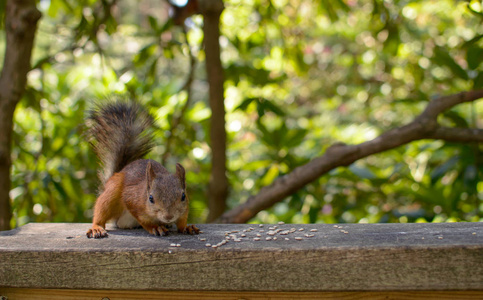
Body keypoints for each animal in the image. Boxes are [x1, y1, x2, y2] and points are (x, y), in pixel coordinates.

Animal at [86, 99, 199, 238]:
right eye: (150, 198)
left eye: (183, 196)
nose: (168, 217)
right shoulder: (132, 200)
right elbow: (144, 220)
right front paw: (155, 227)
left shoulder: (184, 207)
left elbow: (182, 219)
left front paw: (187, 227)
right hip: (111, 194)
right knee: (101, 212)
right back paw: (96, 228)